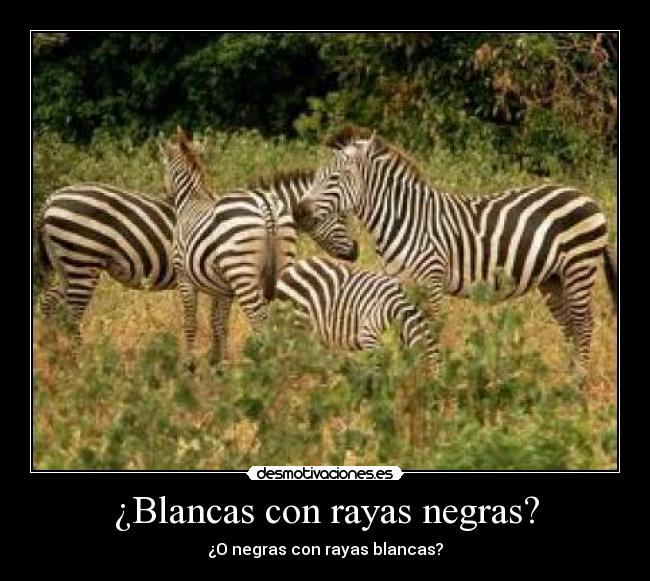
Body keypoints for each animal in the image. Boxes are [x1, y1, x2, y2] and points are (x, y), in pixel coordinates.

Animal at [36, 171, 358, 346]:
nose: (355, 251)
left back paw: (56, 353)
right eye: (341, 216)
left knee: (49, 304)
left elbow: (217, 323)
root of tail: (51, 199)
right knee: (70, 314)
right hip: (82, 260)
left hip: (67, 265)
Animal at [297, 125, 617, 371]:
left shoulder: (432, 281)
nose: (298, 211)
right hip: (553, 279)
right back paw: (568, 376)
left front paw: (434, 379)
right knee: (570, 326)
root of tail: (586, 196)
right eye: (316, 176)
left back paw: (579, 383)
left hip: (578, 267)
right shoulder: (400, 284)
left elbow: (429, 332)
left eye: (334, 178)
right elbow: (406, 332)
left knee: (584, 325)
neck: (402, 218)